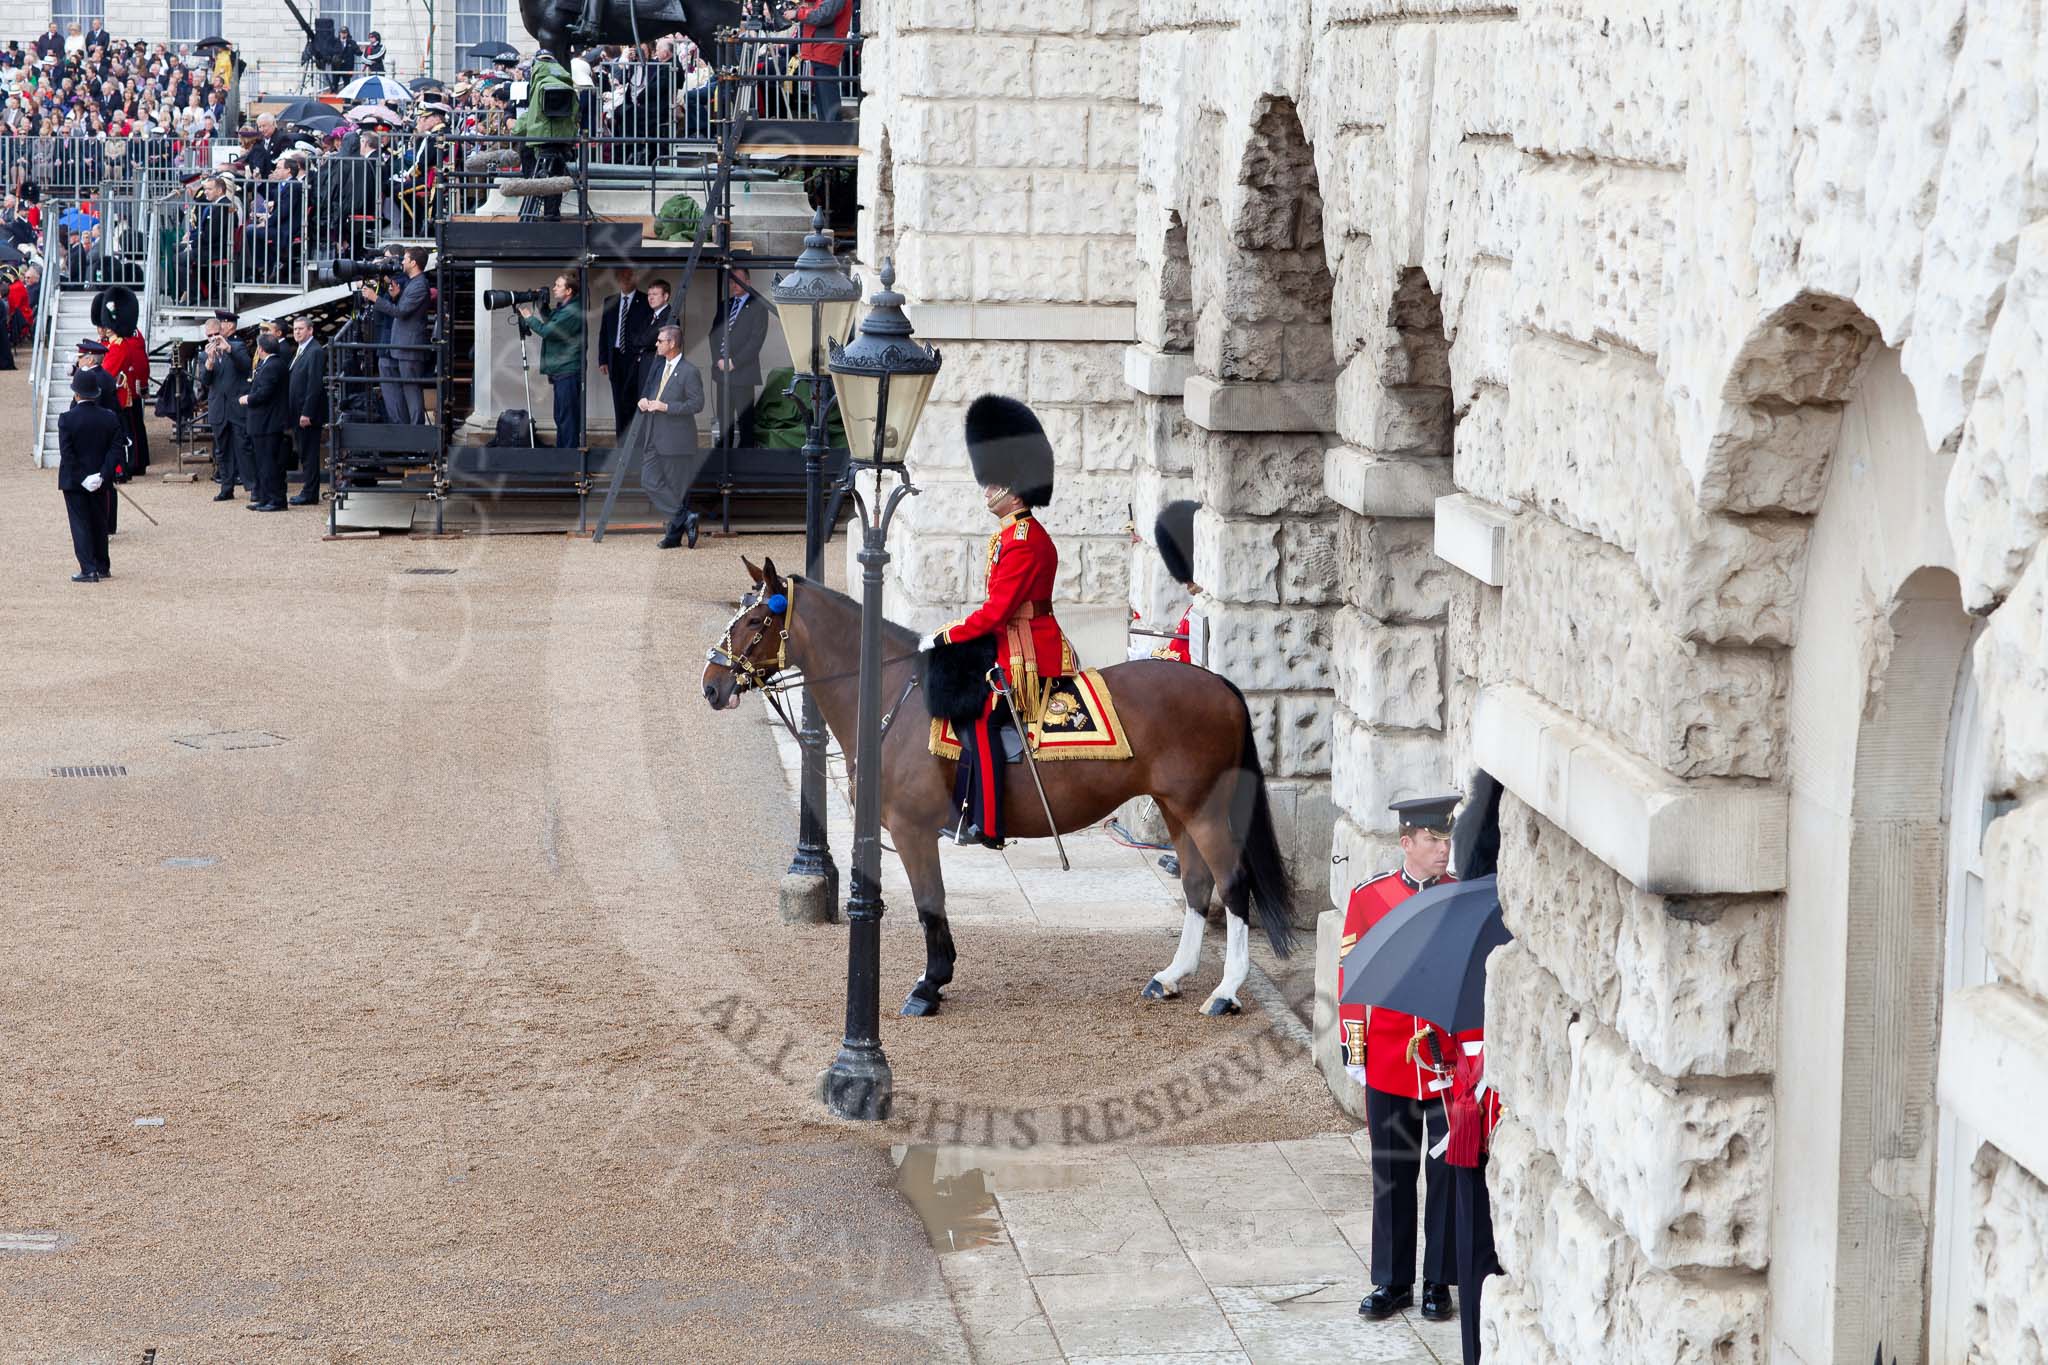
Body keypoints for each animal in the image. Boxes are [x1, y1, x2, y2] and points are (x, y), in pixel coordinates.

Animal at [704, 556, 1294, 1015]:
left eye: (757, 619)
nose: (711, 685)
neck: (891, 695)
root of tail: (1219, 683)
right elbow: (930, 900)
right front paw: (935, 979)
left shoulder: (913, 829)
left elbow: (930, 900)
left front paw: (930, 985)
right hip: (1177, 807)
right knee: (1196, 884)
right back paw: (1171, 977)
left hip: (1204, 809)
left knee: (1233, 884)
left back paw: (1226, 991)